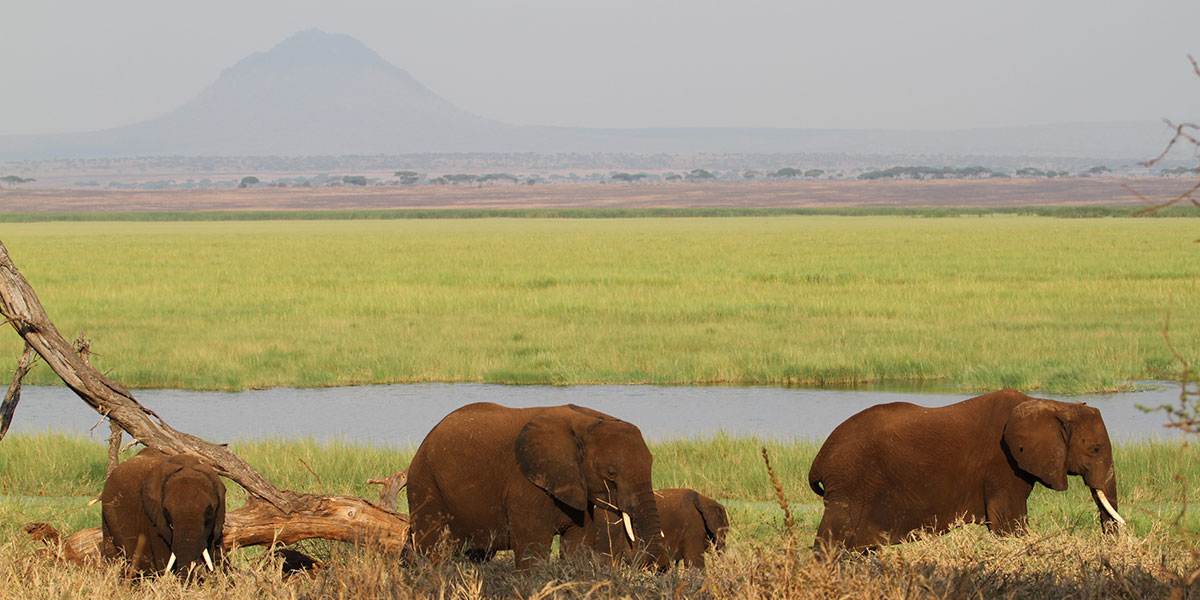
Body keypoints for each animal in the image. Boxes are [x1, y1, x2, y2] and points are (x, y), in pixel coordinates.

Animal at [406, 402, 669, 569]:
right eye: (611, 474)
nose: (631, 554)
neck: (587, 420)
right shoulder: (526, 485)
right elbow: (533, 551)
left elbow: (578, 545)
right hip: (425, 486)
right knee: (431, 551)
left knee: (477, 555)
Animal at [808, 389, 1124, 550]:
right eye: (1096, 449)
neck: (1055, 404)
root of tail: (820, 458)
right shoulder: (1002, 463)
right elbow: (1008, 525)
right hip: (850, 483)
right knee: (831, 542)